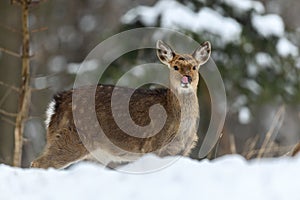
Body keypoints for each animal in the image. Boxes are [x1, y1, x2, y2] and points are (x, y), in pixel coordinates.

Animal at [31, 39, 211, 168]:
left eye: (194, 67)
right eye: (175, 67)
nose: (186, 78)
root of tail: (57, 103)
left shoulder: (182, 150)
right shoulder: (151, 145)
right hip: (72, 137)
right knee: (38, 163)